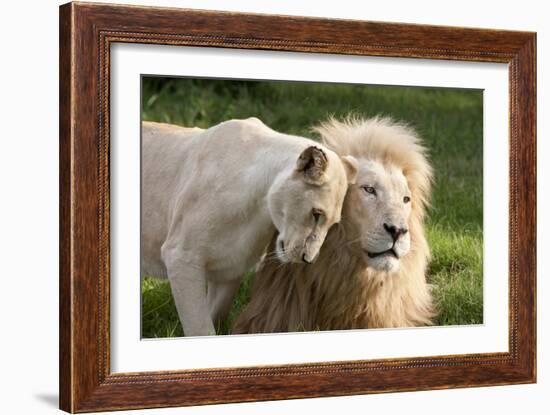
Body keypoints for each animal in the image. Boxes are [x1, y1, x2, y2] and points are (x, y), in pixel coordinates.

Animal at [140, 118, 360, 338]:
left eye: (332, 224)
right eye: (316, 214)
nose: (308, 259)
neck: (259, 210)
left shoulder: (230, 267)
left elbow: (215, 316)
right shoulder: (181, 256)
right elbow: (200, 328)